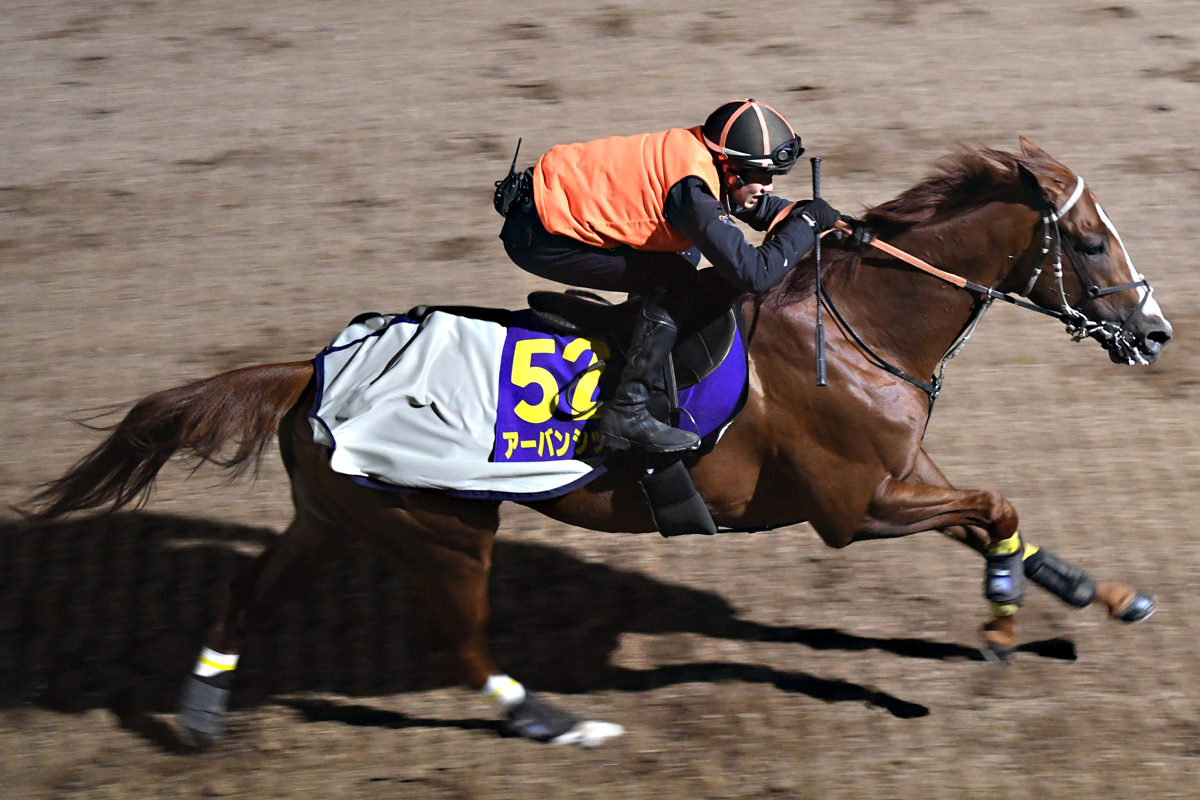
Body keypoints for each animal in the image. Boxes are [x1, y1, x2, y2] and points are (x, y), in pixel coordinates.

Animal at [20, 137, 1173, 748]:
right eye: (1087, 241)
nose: (1157, 331)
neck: (860, 322)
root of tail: (311, 372)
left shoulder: (902, 473)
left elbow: (1003, 515)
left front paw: (1093, 591)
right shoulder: (857, 506)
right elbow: (995, 506)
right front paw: (1002, 617)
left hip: (335, 516)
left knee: (244, 593)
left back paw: (200, 710)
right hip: (445, 528)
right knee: (456, 646)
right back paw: (547, 715)